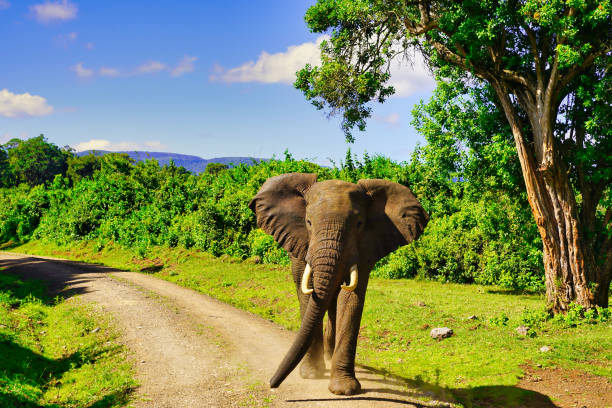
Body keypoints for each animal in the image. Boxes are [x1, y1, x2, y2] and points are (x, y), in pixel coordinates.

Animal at [249, 172, 430, 396]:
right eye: (308, 222)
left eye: (360, 223)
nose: (272, 383)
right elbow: (308, 293)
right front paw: (311, 375)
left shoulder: (366, 246)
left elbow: (351, 296)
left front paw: (343, 390)